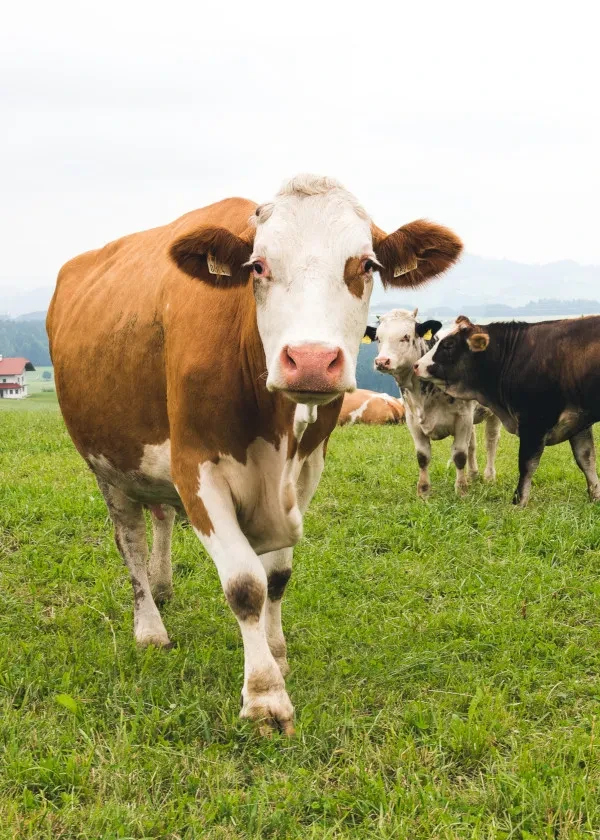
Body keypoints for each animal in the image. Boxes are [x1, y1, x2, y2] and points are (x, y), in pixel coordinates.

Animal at [47, 177, 462, 736]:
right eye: (258, 266)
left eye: (366, 264)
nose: (311, 360)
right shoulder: (194, 469)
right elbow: (246, 584)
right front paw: (265, 697)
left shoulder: (307, 470)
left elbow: (277, 578)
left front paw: (277, 654)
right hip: (106, 463)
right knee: (129, 538)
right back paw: (150, 626)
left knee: (160, 518)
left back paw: (162, 585)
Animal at [366, 308, 502, 496]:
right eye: (378, 338)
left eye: (406, 337)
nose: (381, 361)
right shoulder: (412, 421)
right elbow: (423, 456)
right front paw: (423, 491)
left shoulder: (463, 418)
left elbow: (459, 455)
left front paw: (461, 490)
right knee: (472, 445)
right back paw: (473, 474)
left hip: (493, 413)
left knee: (491, 441)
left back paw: (489, 477)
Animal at [414, 316, 600, 506]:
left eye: (449, 345)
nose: (417, 365)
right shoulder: (579, 421)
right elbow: (586, 458)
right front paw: (595, 496)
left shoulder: (534, 422)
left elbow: (527, 464)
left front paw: (519, 502)